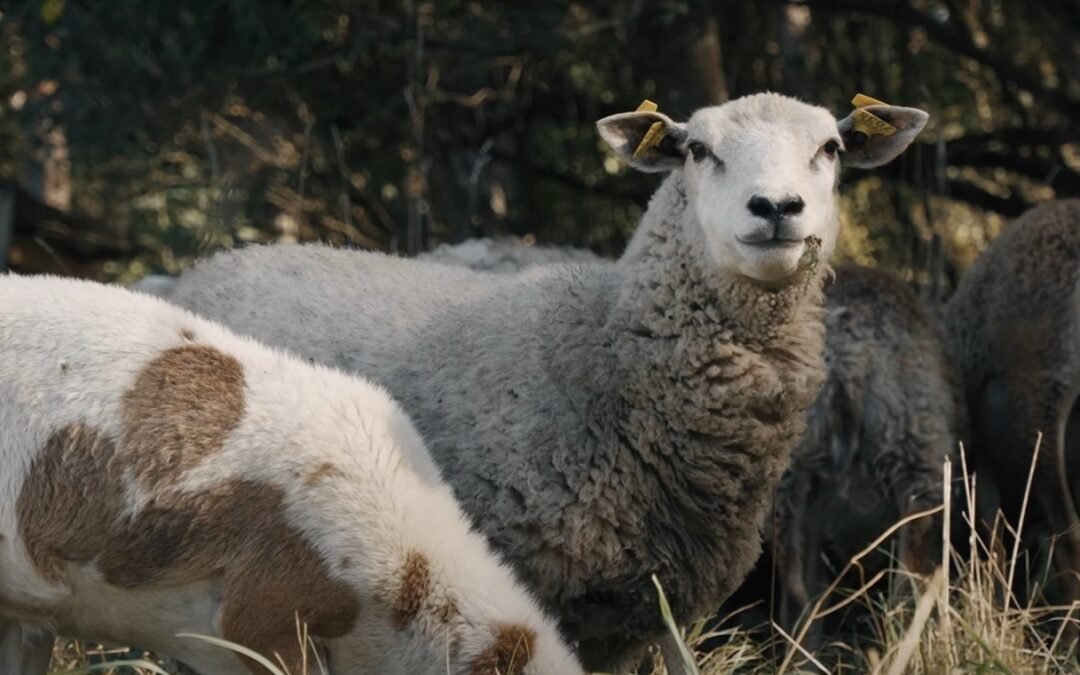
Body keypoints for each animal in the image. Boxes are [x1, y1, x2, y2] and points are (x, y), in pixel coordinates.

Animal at [168, 93, 928, 669]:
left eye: (831, 148)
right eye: (696, 150)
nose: (775, 208)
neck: (612, 348)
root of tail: (219, 264)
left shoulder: (637, 616)